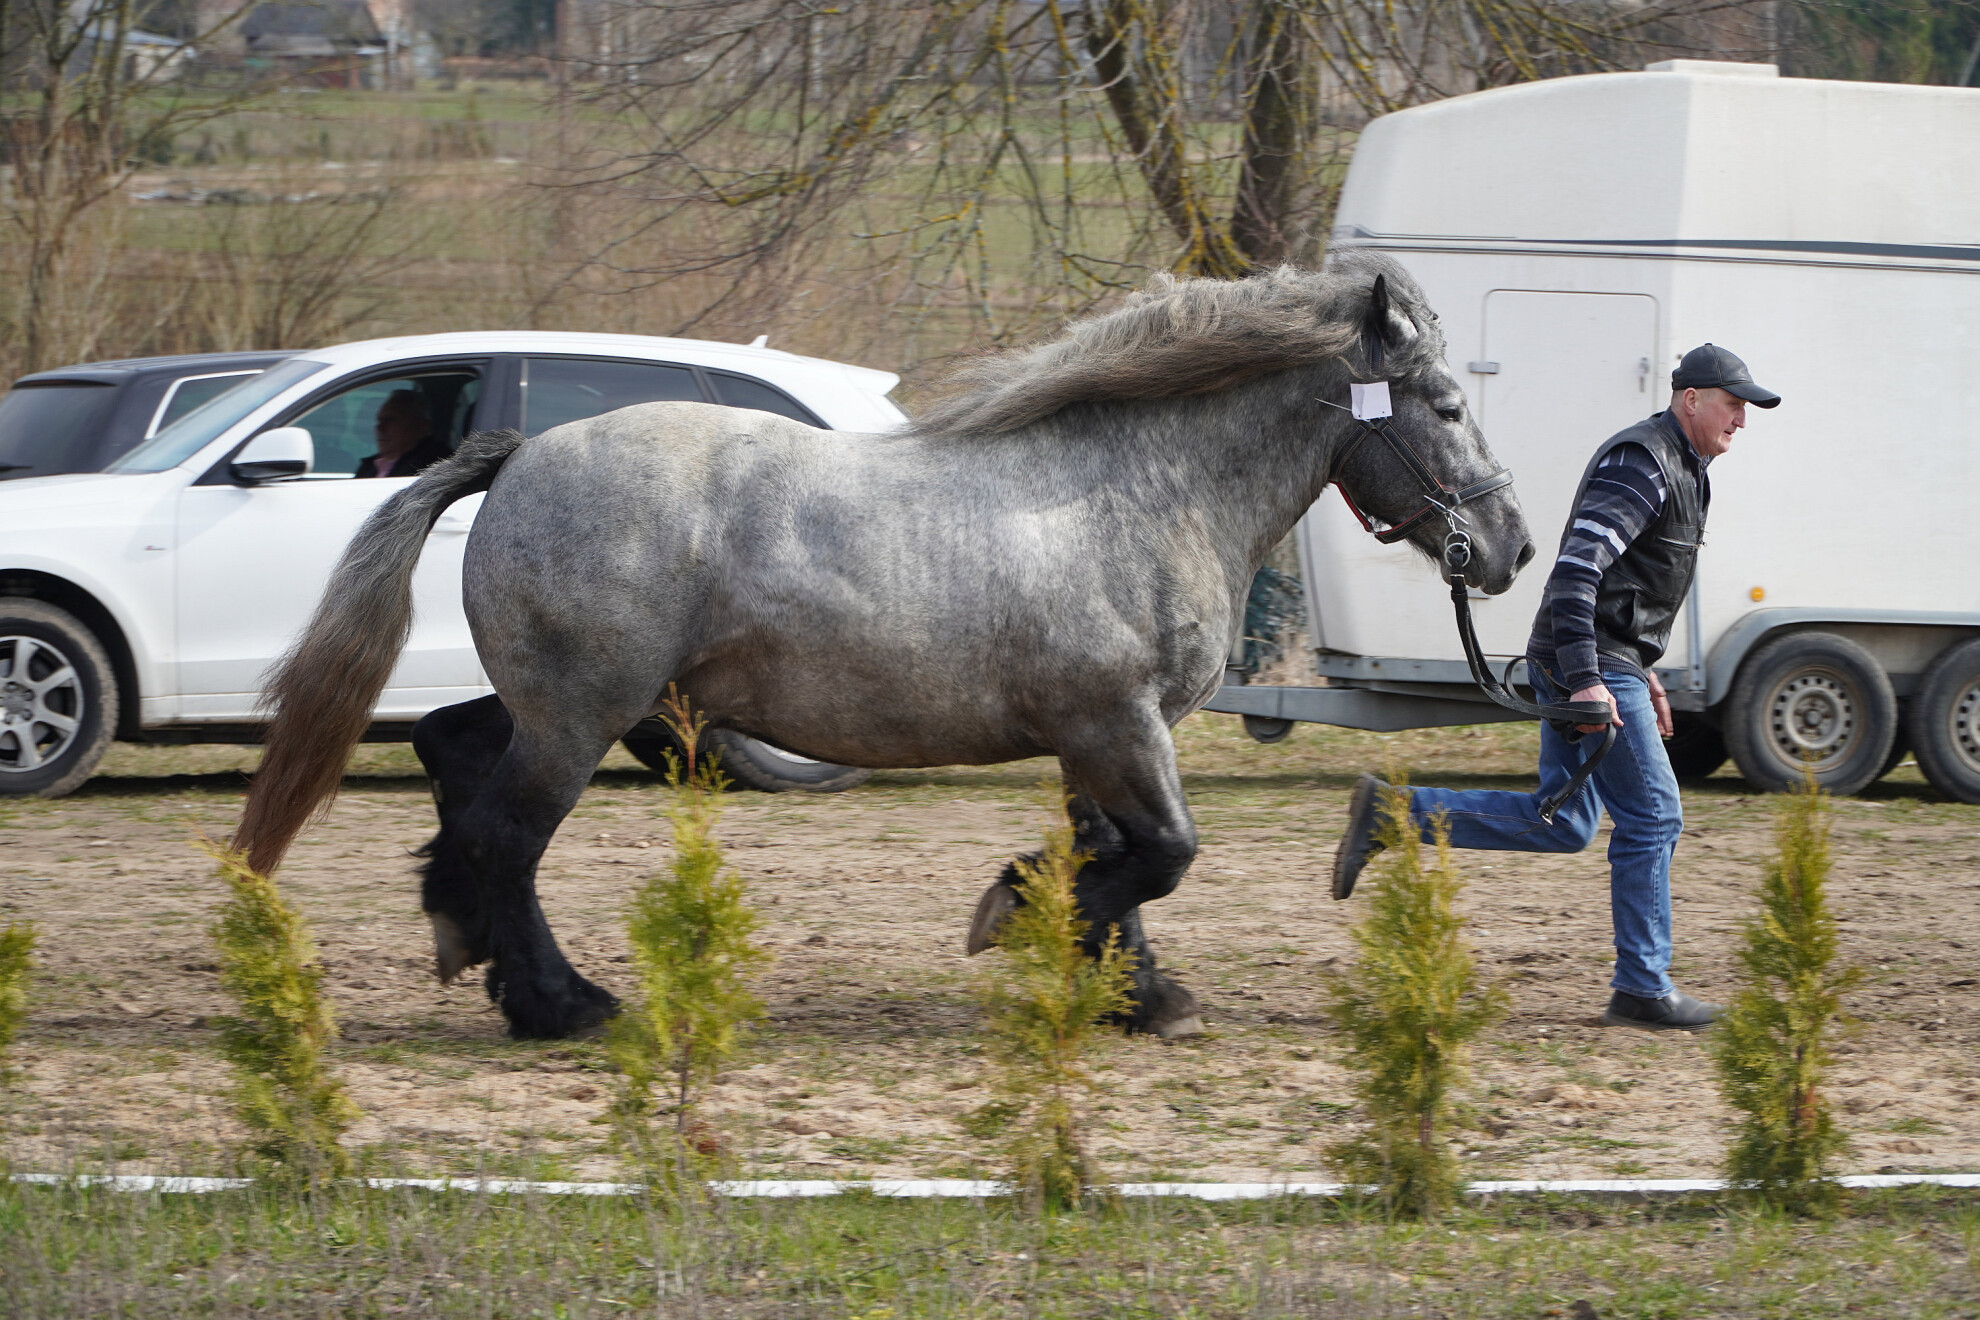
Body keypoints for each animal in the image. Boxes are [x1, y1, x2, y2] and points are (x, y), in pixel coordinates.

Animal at [231, 253, 1537, 1041]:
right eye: (1446, 404)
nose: (1510, 548)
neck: (1138, 491)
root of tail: (519, 456)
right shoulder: (1118, 723)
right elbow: (1160, 853)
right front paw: (1015, 918)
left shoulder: (1103, 736)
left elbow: (1119, 857)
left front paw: (1137, 992)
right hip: (579, 717)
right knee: (506, 838)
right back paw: (565, 1003)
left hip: (560, 705)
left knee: (455, 761)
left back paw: (472, 948)